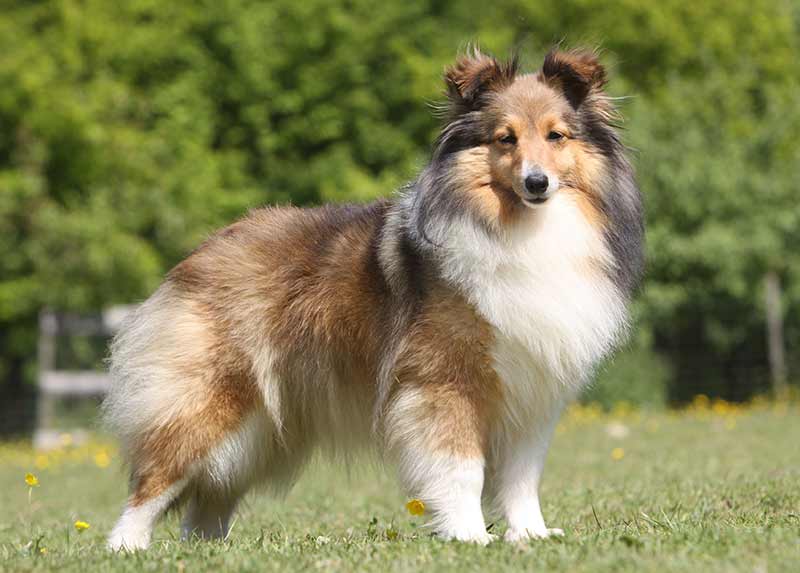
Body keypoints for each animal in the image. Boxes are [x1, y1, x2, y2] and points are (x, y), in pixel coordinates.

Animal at [104, 47, 644, 548]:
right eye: (504, 138)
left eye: (557, 136)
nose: (537, 183)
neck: (523, 229)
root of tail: (202, 249)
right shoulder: (444, 381)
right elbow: (462, 469)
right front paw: (470, 536)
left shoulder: (533, 394)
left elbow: (521, 478)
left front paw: (531, 535)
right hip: (207, 403)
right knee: (152, 484)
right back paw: (127, 547)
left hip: (260, 433)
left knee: (207, 502)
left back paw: (209, 549)